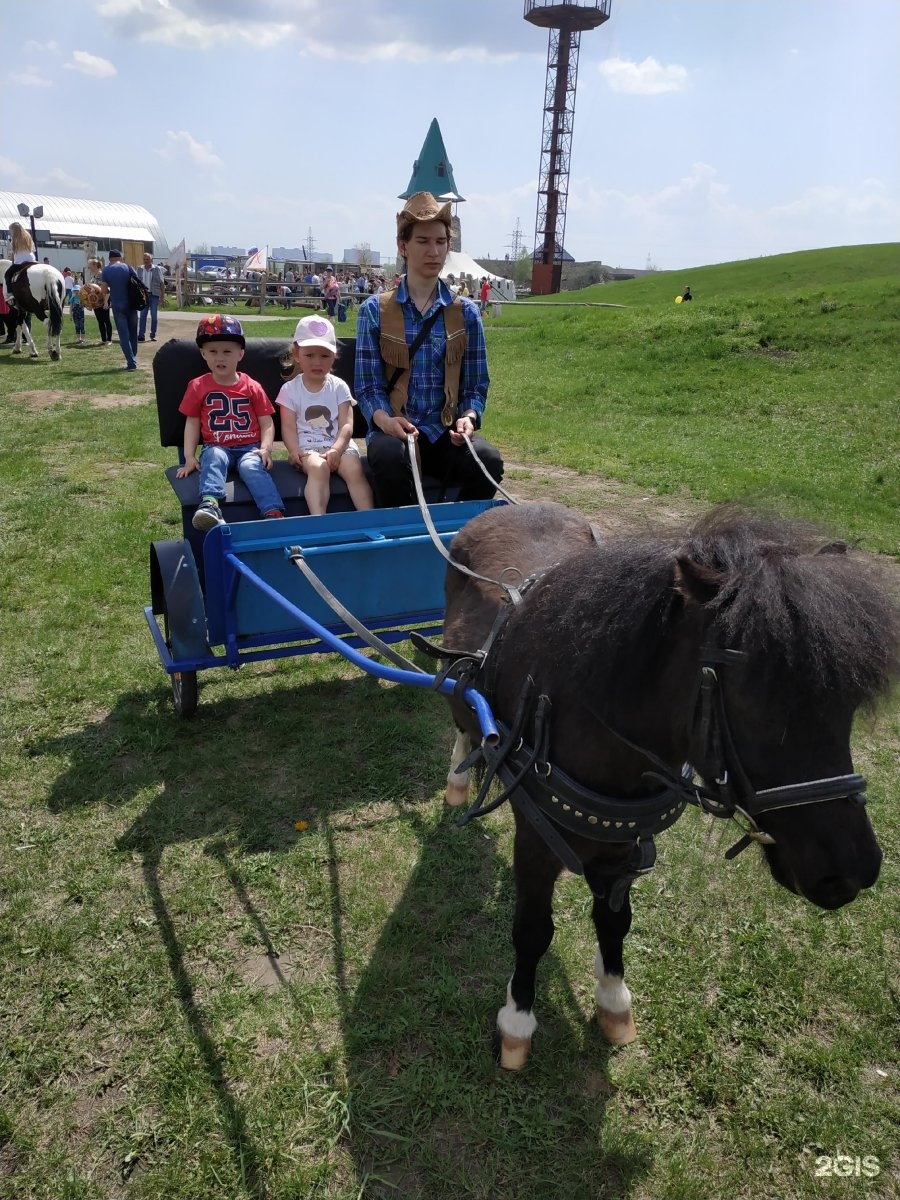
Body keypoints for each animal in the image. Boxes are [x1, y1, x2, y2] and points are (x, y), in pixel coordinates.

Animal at [441, 501, 897, 1065]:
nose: (854, 870)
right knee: (463, 716)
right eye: (758, 706)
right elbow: (531, 930)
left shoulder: (623, 844)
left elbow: (614, 921)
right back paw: (459, 778)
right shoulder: (535, 840)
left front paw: (613, 1001)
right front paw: (517, 1022)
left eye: (847, 704)